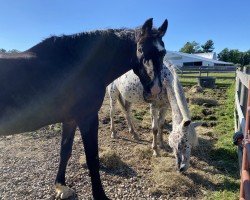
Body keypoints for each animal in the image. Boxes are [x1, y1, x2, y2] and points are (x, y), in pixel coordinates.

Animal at [0, 18, 168, 199]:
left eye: (163, 52)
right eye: (140, 49)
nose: (155, 90)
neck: (78, 66)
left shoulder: (70, 120)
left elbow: (65, 151)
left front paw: (61, 186)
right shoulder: (87, 118)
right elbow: (92, 158)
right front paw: (100, 195)